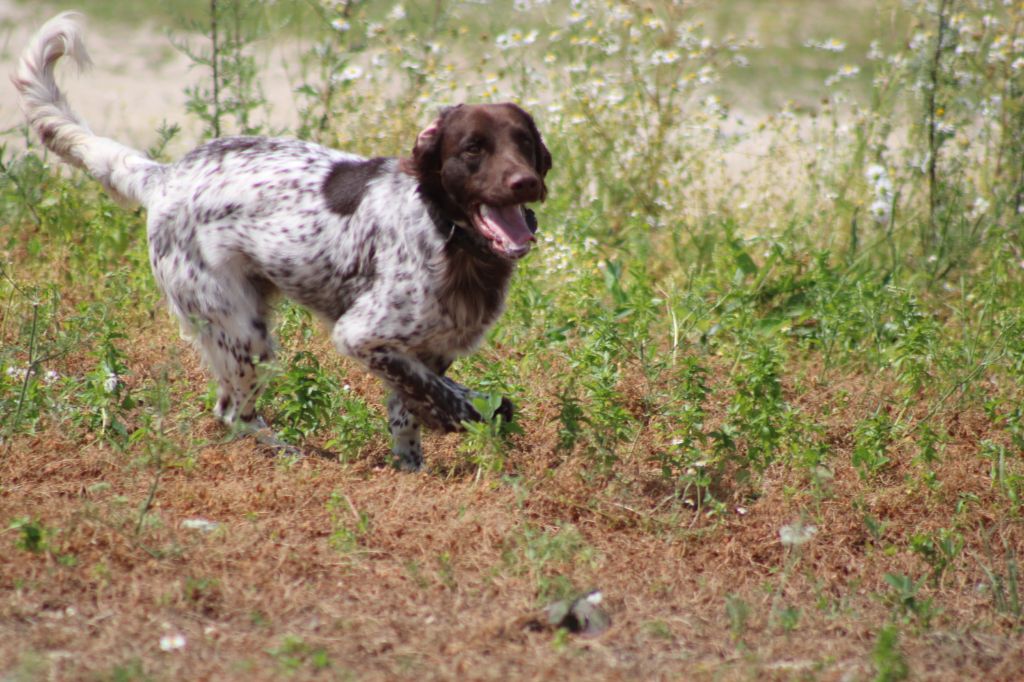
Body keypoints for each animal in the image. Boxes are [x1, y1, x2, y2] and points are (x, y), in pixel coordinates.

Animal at [9, 11, 552, 466]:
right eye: (473, 148)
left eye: (524, 142)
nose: (526, 182)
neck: (446, 235)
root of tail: (163, 177)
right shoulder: (361, 334)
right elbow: (440, 393)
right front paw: (468, 411)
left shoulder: (426, 348)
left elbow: (410, 406)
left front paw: (413, 466)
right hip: (242, 333)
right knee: (233, 413)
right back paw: (291, 454)